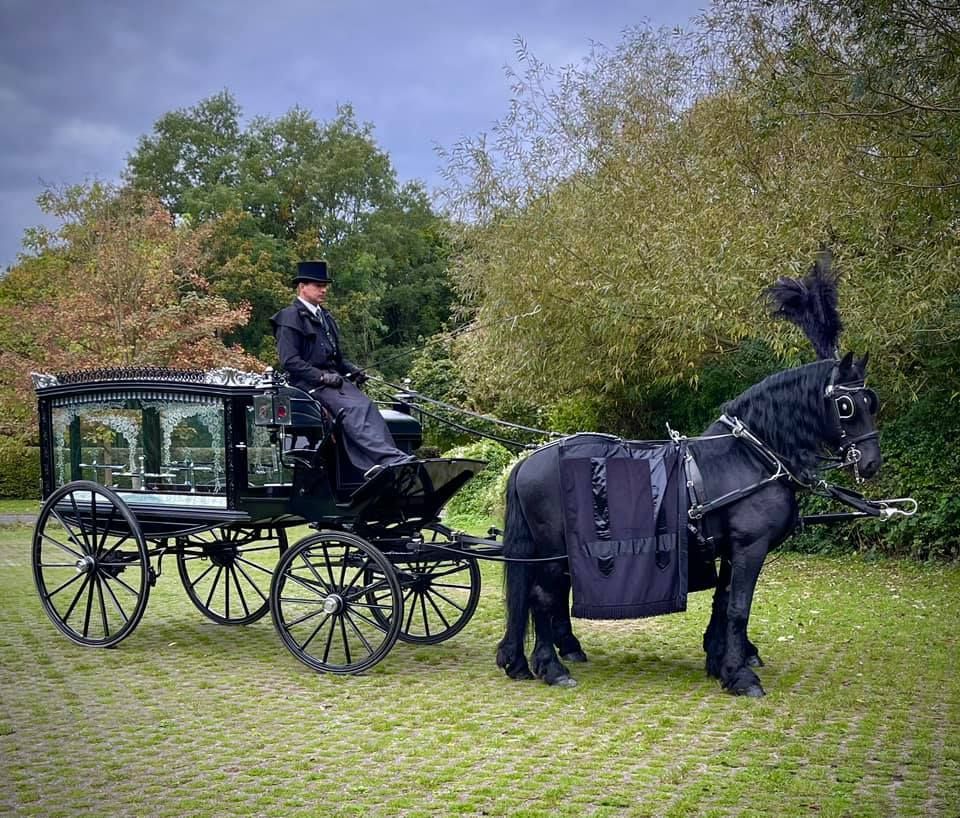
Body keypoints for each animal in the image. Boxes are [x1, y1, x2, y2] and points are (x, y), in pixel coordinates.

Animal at [494, 351, 882, 696]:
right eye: (846, 406)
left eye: (870, 402)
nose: (871, 463)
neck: (751, 458)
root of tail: (528, 461)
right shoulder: (750, 546)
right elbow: (739, 608)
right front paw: (741, 676)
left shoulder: (730, 548)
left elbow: (723, 603)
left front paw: (721, 663)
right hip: (555, 550)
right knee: (543, 598)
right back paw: (552, 668)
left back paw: (526, 661)